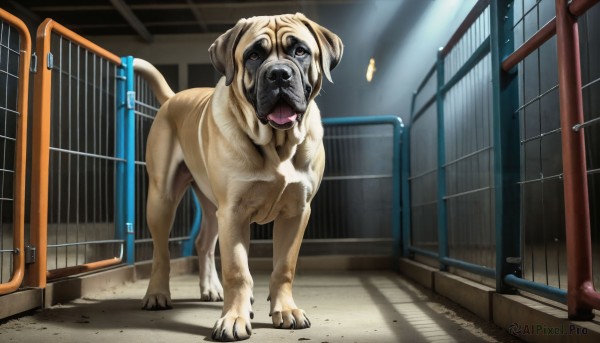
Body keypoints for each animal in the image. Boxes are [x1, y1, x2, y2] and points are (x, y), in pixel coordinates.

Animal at [135, 12, 342, 342]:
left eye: (300, 51)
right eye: (254, 56)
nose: (279, 74)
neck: (276, 145)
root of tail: (173, 98)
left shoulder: (297, 212)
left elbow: (284, 266)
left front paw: (285, 310)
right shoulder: (233, 212)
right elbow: (237, 270)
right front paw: (233, 318)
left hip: (209, 207)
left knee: (204, 244)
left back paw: (211, 289)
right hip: (161, 199)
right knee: (161, 253)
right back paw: (157, 294)